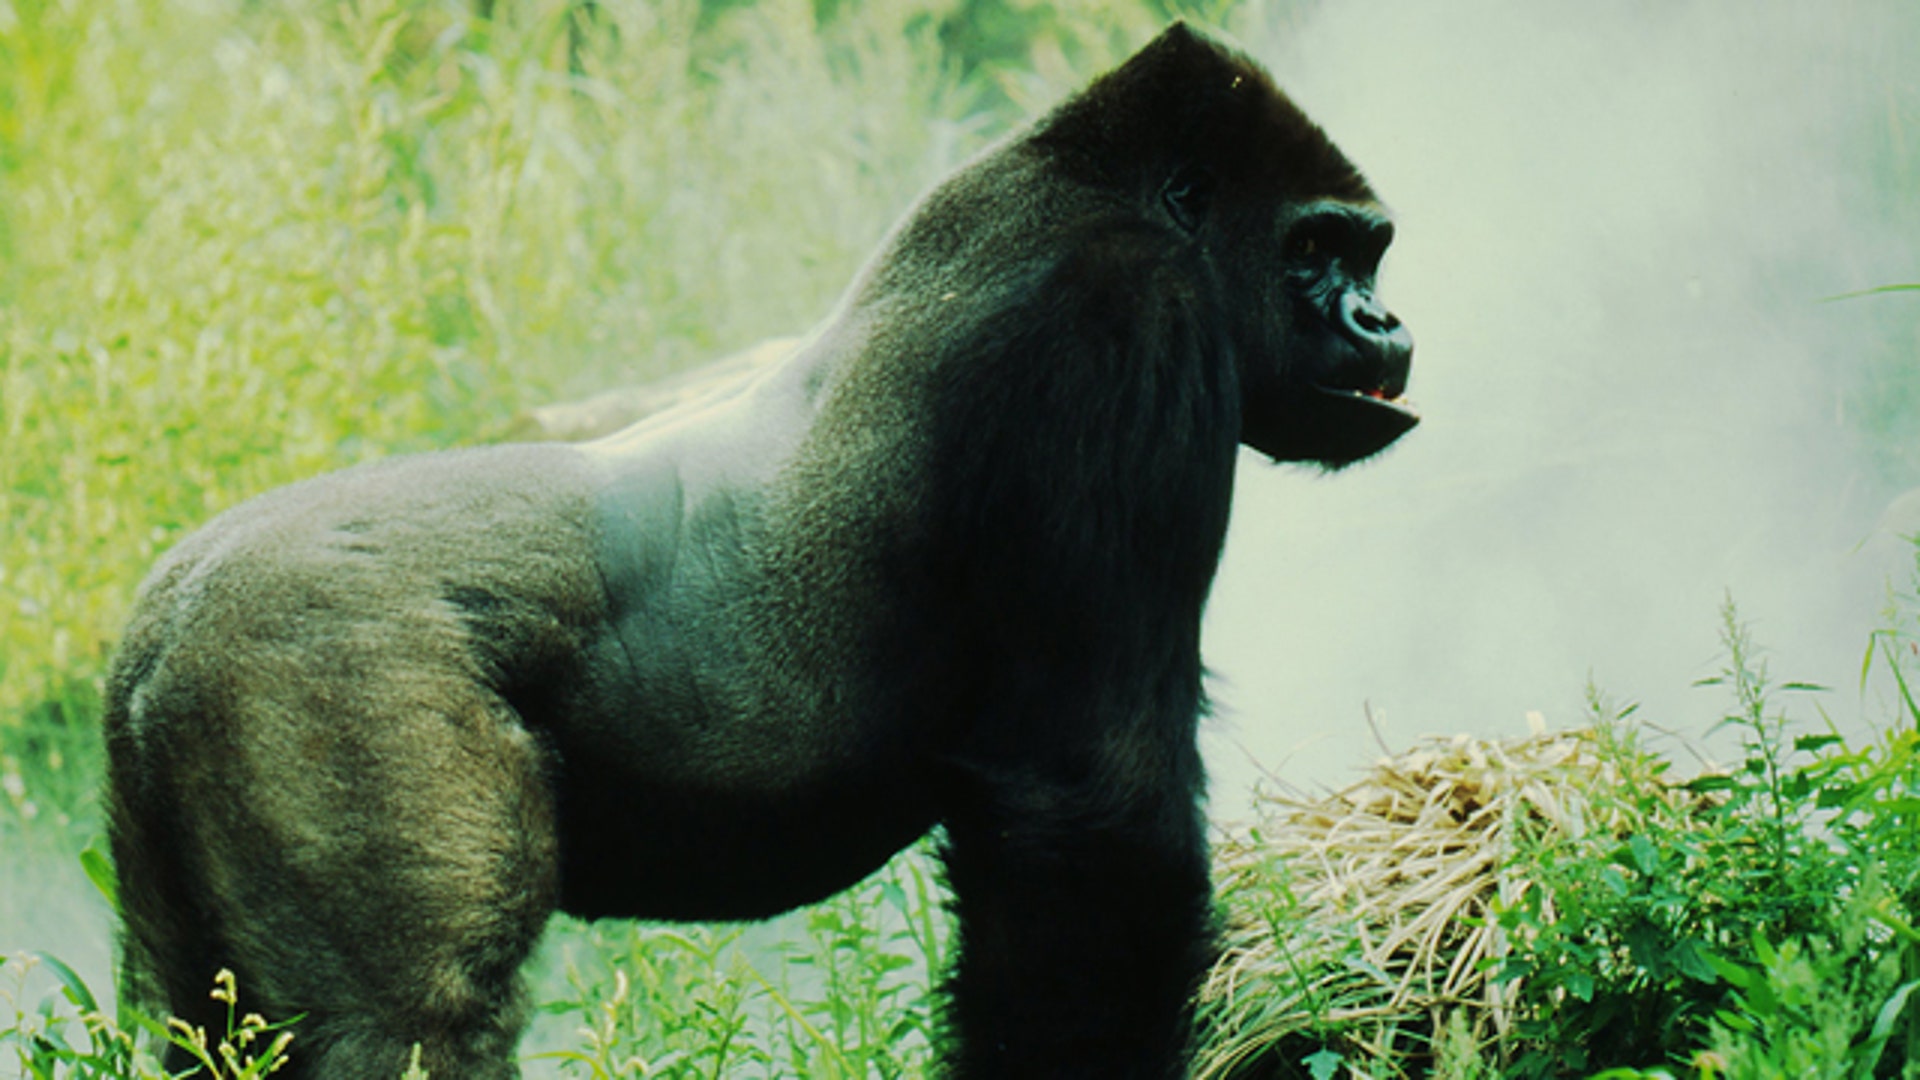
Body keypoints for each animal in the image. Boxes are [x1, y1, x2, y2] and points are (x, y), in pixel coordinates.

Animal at [104, 22, 1415, 1079]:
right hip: (321, 673)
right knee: (407, 1028)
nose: (1386, 323)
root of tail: (155, 633)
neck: (1092, 187)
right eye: (1318, 251)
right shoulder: (1126, 319)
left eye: (1369, 255)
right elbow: (1093, 809)